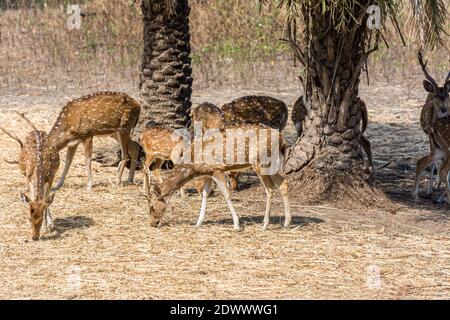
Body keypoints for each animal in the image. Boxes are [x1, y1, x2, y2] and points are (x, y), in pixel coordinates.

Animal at [0, 112, 60, 240]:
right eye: (28, 218)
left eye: (41, 219)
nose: (34, 237)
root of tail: (36, 130)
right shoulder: (28, 176)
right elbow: (33, 196)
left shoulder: (51, 176)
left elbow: (46, 199)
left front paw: (47, 226)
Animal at [412, 50, 450, 200]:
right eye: (434, 95)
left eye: (448, 94)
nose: (444, 108)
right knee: (439, 168)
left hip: (440, 148)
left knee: (424, 161)